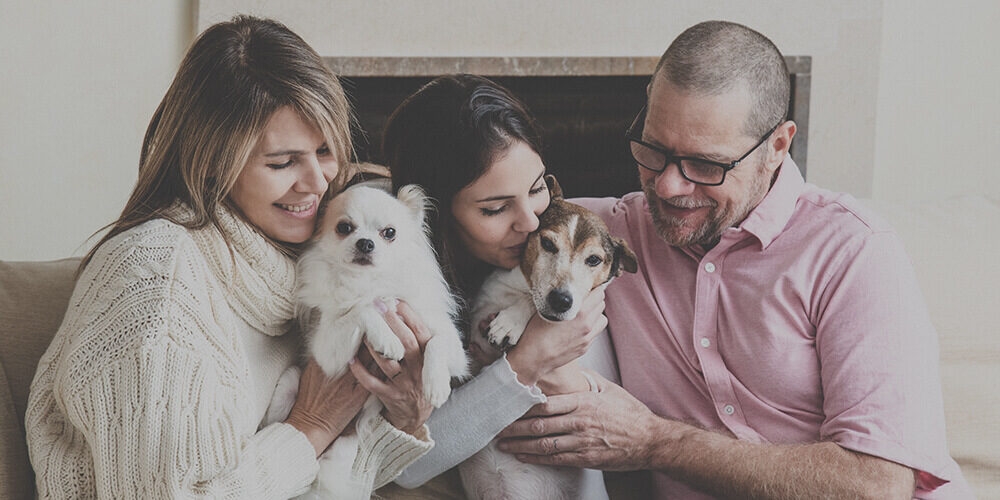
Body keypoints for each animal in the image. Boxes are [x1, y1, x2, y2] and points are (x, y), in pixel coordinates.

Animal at [266, 184, 468, 500]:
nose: (365, 243)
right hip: (289, 380)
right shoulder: (328, 356)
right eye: (344, 228)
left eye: (389, 233)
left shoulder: (452, 346)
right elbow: (362, 309)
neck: (368, 283)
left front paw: (436, 386)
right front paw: (387, 338)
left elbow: (436, 342)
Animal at [458, 176, 636, 500]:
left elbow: (532, 303)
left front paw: (512, 321)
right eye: (548, 244)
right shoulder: (481, 315)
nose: (561, 300)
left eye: (594, 259)